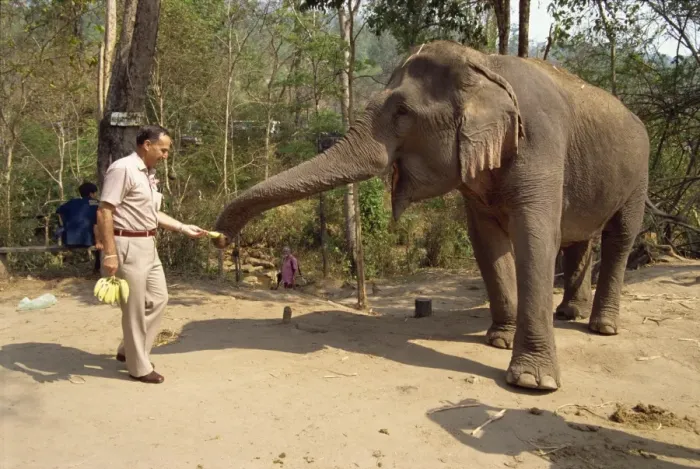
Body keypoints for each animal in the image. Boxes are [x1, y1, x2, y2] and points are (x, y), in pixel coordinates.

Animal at [211, 40, 649, 391]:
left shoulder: (540, 144)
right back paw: (569, 313)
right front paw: (498, 340)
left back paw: (602, 326)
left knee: (619, 237)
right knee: (581, 238)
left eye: (402, 111)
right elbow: (486, 241)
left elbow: (536, 237)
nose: (222, 237)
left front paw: (531, 381)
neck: (486, 63)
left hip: (638, 176)